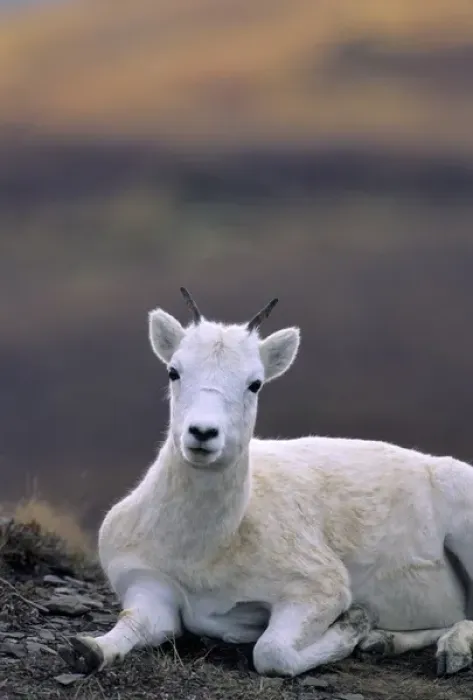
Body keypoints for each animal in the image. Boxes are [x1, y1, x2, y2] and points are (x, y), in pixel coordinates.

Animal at [61, 287, 473, 679]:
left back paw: (451, 651)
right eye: (174, 371)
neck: (203, 550)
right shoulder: (150, 588)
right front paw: (88, 651)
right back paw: (383, 642)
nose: (203, 433)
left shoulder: (316, 590)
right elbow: (126, 629)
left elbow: (271, 653)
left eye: (255, 383)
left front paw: (356, 622)